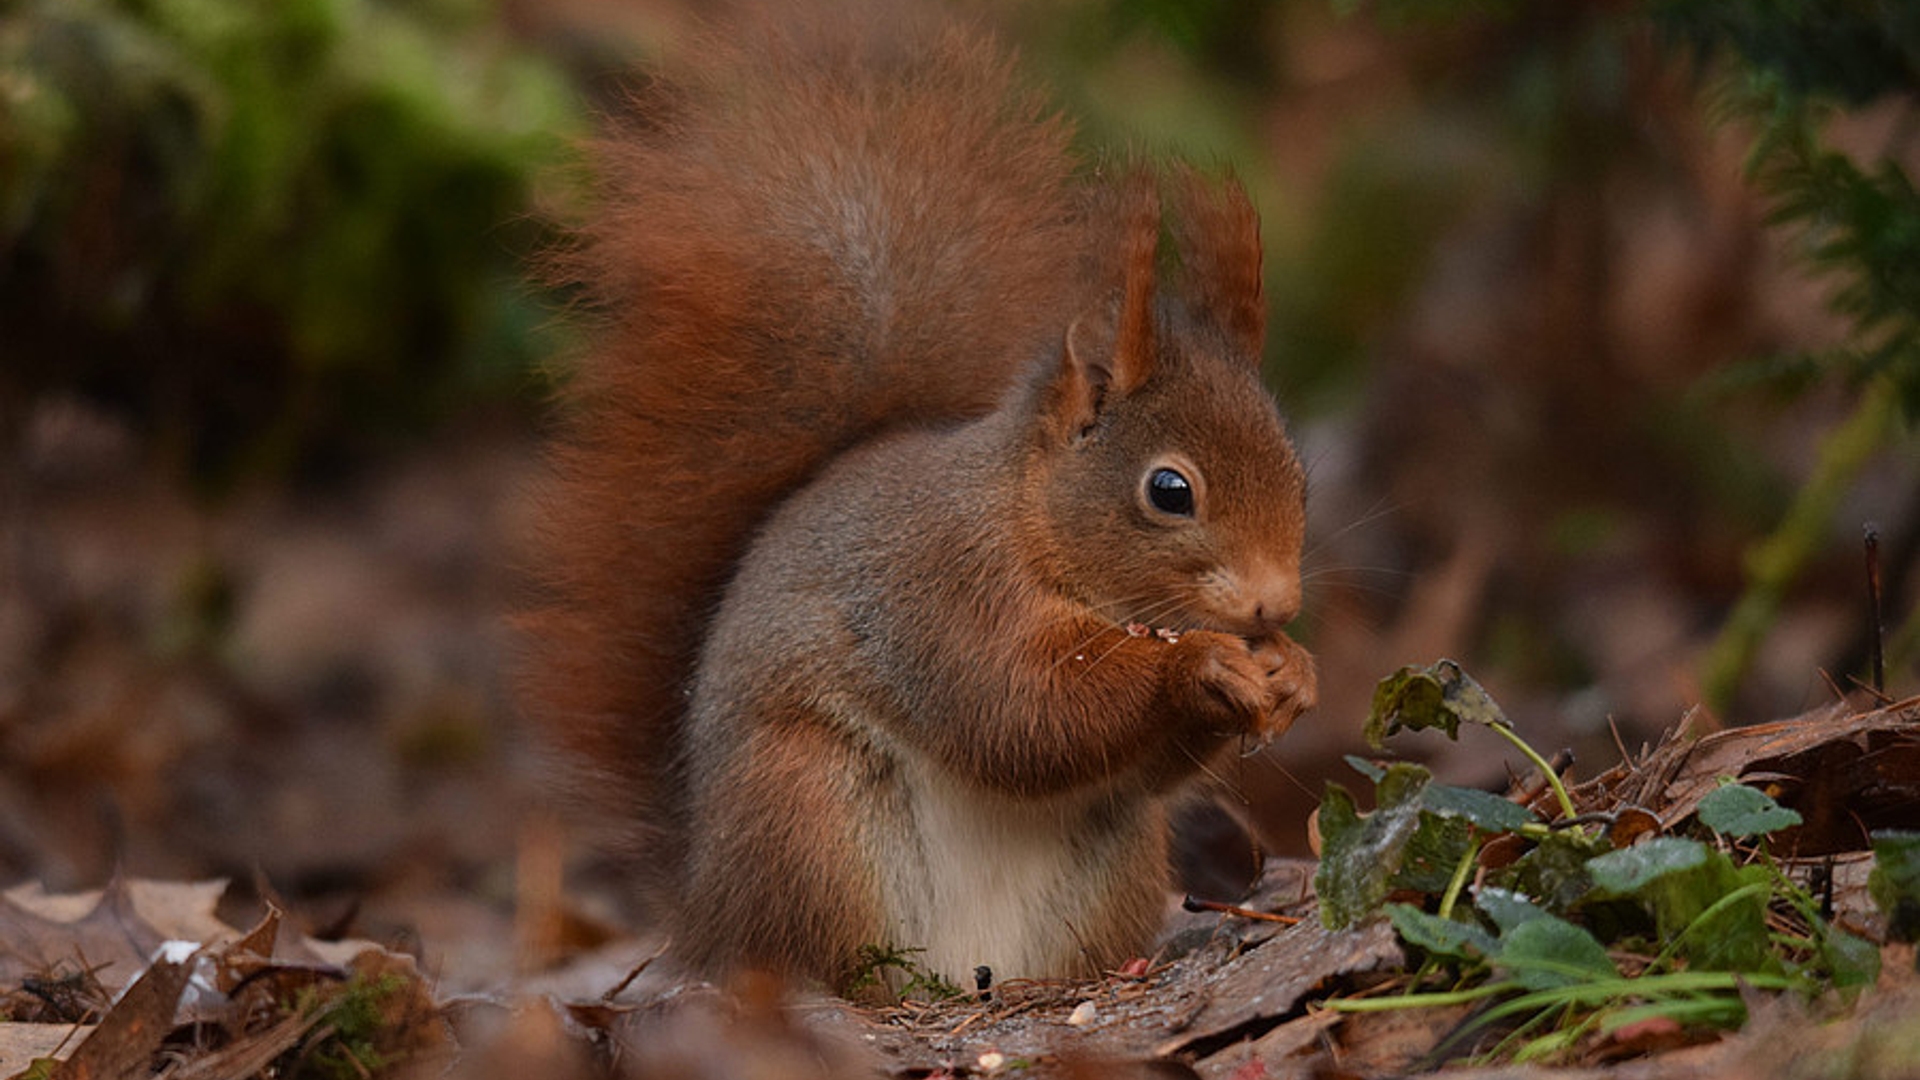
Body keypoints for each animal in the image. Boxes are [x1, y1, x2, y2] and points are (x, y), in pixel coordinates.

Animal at [518, 8, 1313, 991]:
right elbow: (1017, 708)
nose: (1276, 604)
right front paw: (1199, 665)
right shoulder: (942, 587)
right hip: (810, 811)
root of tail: (706, 908)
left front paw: (1293, 673)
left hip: (1111, 862)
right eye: (1170, 491)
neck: (1028, 520)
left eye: (1298, 468)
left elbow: (1128, 759)